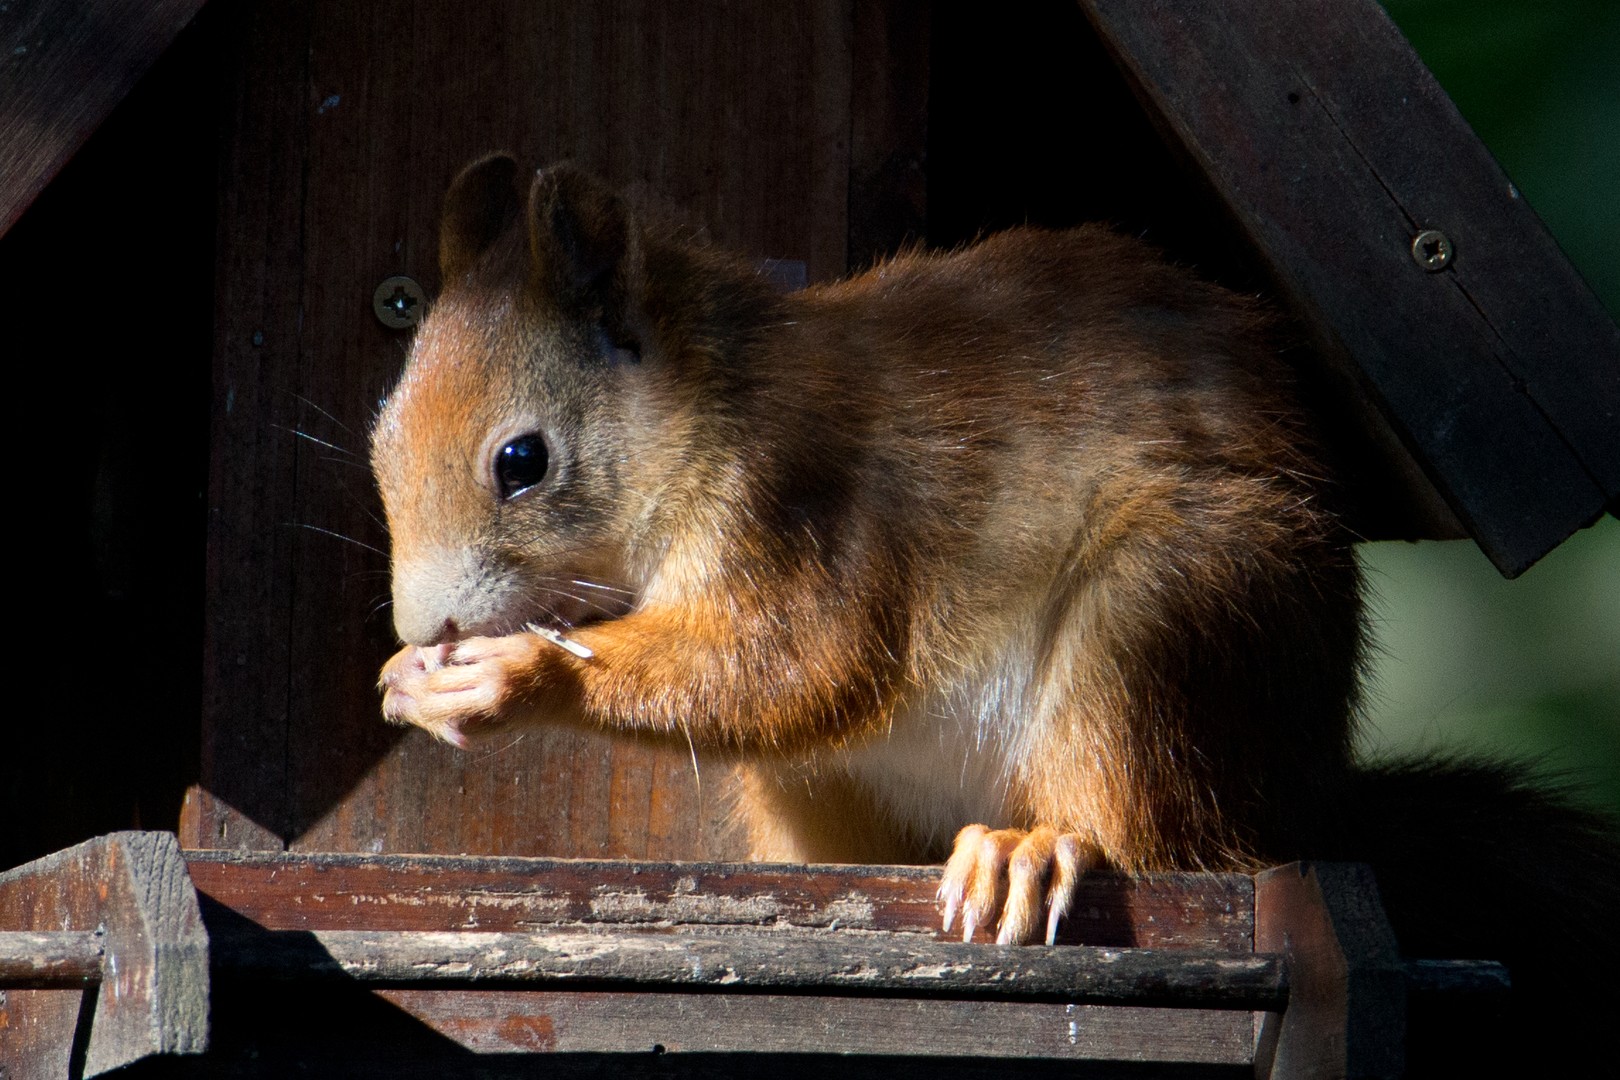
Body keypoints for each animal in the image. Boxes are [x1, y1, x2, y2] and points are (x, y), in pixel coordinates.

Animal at [370, 158, 1620, 977]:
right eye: (380, 442)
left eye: (521, 462)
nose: (425, 628)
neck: (710, 400)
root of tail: (1308, 791)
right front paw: (409, 682)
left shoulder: (808, 500)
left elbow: (801, 662)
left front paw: (512, 675)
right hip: (811, 795)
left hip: (1166, 615)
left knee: (1158, 832)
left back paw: (1039, 846)